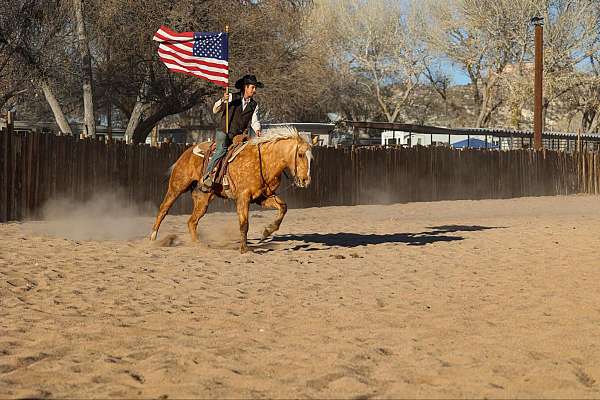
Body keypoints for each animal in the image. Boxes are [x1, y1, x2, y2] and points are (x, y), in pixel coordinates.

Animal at [149, 126, 314, 252]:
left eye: (311, 158)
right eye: (300, 154)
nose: (305, 180)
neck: (264, 161)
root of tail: (187, 152)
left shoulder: (263, 197)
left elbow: (283, 208)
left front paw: (266, 231)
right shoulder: (243, 197)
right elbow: (244, 224)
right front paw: (244, 249)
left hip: (203, 198)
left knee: (192, 221)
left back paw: (199, 245)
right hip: (177, 186)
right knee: (164, 209)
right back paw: (153, 238)